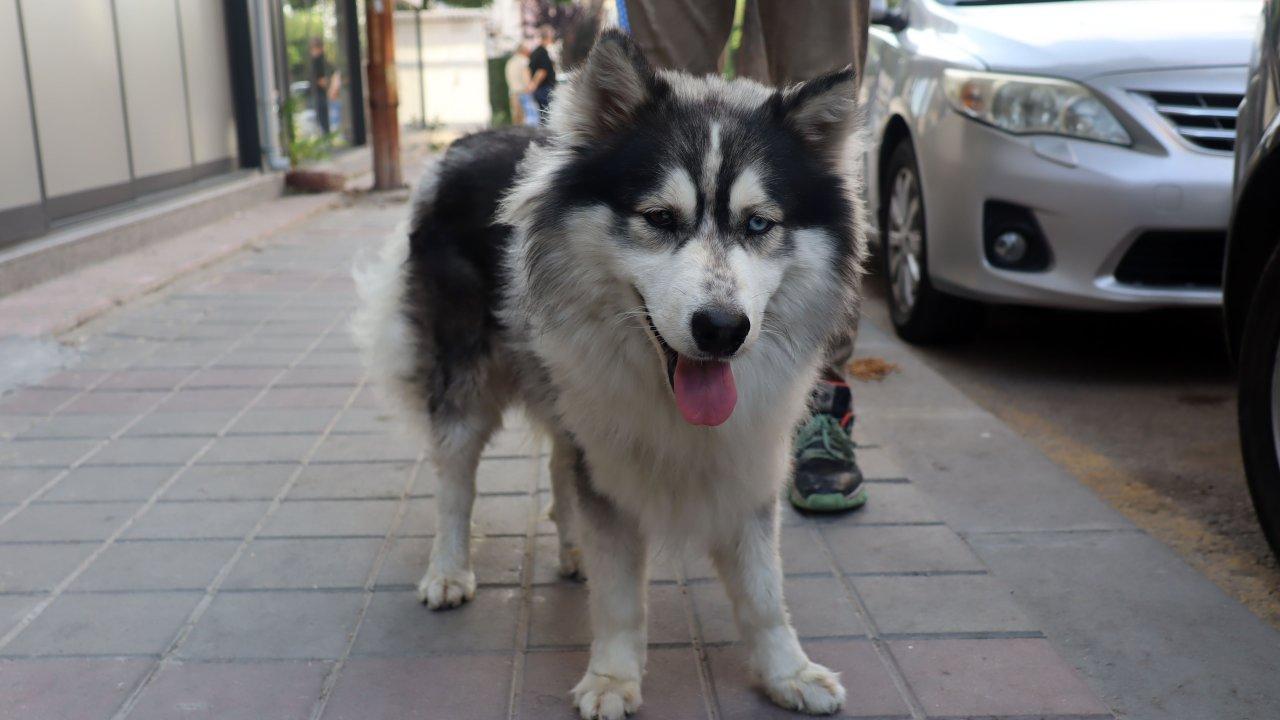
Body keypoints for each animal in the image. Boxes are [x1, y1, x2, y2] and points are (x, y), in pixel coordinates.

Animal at [355, 29, 865, 717]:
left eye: (759, 224)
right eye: (660, 218)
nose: (722, 329)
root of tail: (460, 143)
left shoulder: (749, 453)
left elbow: (762, 589)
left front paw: (788, 670)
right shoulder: (609, 460)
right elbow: (620, 590)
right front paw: (612, 677)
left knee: (557, 462)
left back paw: (571, 550)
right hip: (465, 381)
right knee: (456, 480)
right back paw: (450, 569)